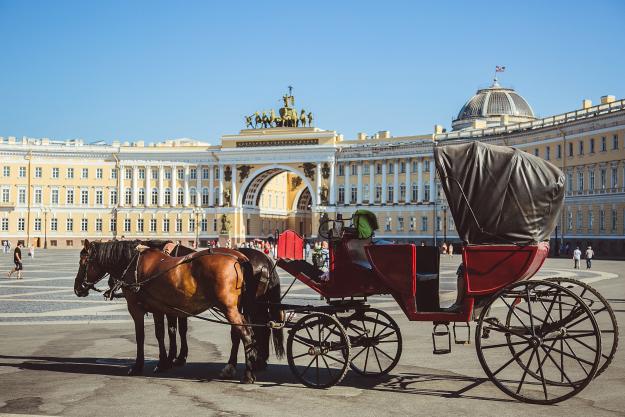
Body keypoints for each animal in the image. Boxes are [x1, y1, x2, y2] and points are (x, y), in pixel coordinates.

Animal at [75, 239, 258, 382]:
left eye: (83, 262)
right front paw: (164, 362)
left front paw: (138, 366)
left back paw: (248, 374)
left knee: (245, 334)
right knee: (243, 333)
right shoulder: (160, 308)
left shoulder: (136, 308)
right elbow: (162, 333)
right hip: (236, 308)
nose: (77, 288)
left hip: (229, 309)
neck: (134, 264)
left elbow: (141, 336)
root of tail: (239, 257)